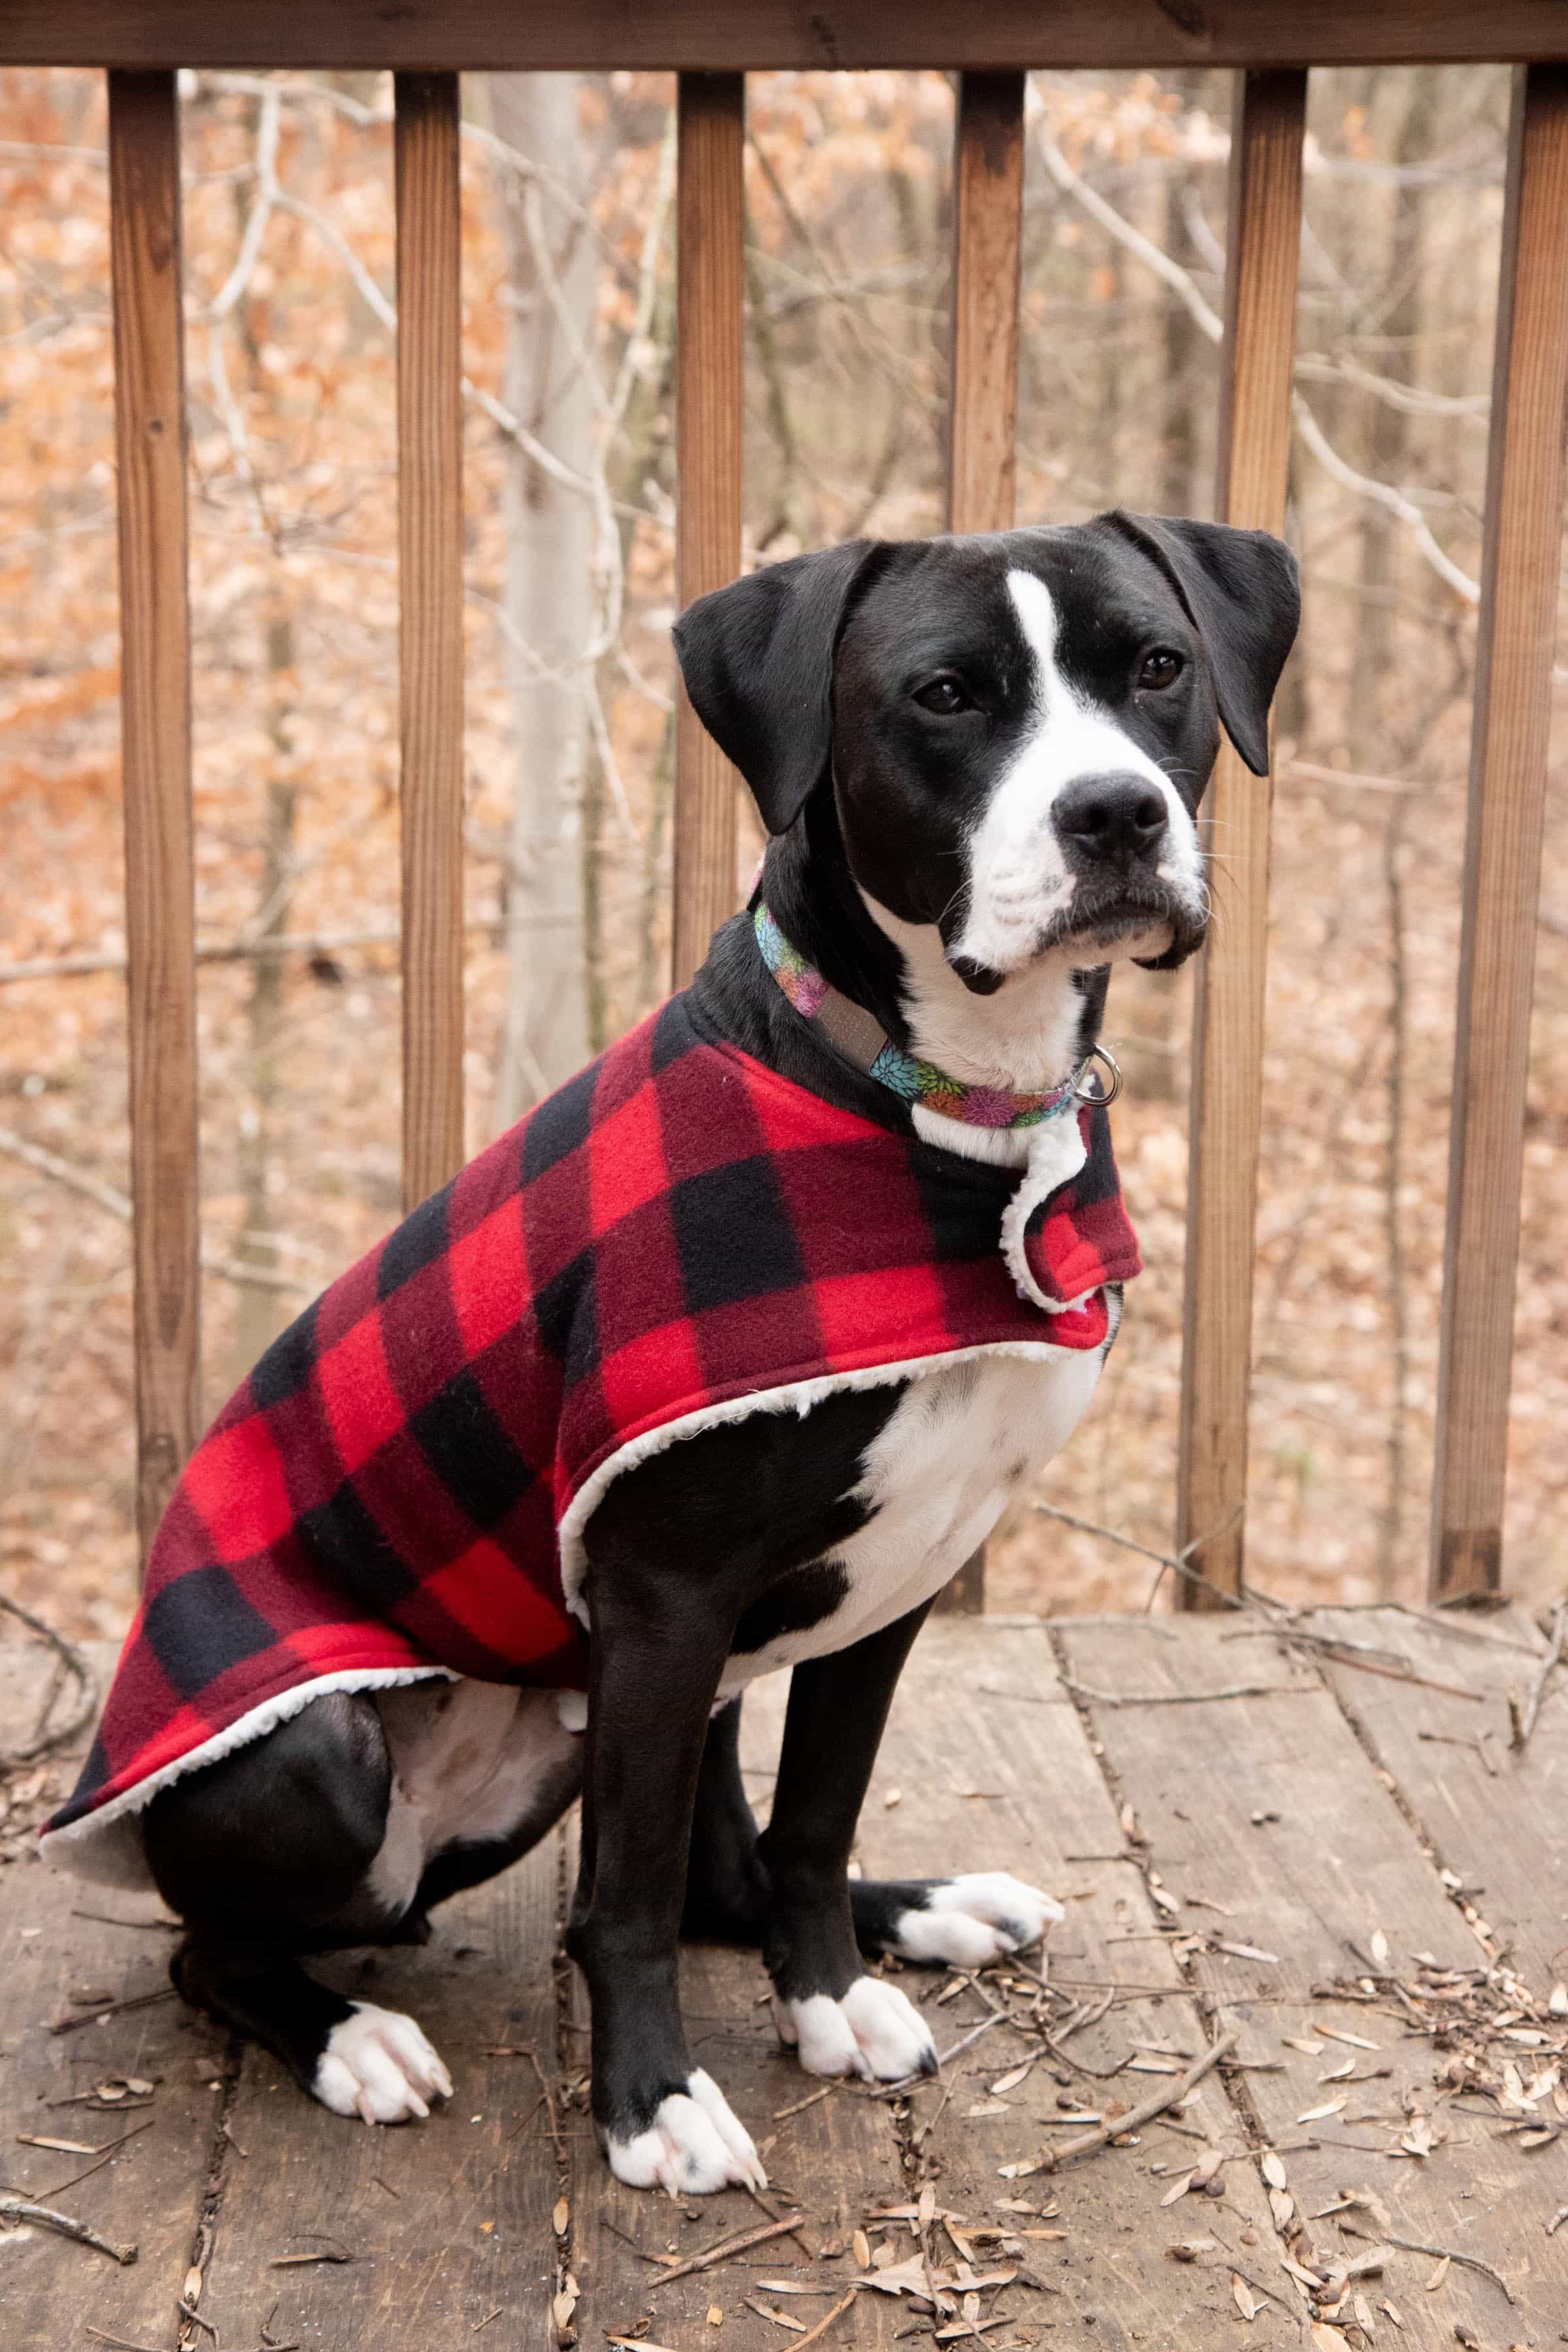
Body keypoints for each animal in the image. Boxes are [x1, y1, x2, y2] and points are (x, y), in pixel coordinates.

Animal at [135, 510, 1298, 2182]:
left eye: (1153, 666)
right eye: (946, 694)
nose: (1113, 813)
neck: (930, 1111)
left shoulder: (899, 1570)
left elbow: (810, 1820)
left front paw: (827, 1994)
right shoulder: (662, 1587)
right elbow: (619, 1899)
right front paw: (655, 2101)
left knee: (718, 1870)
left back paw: (918, 1911)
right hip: (333, 1758)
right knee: (215, 1948)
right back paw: (347, 2034)